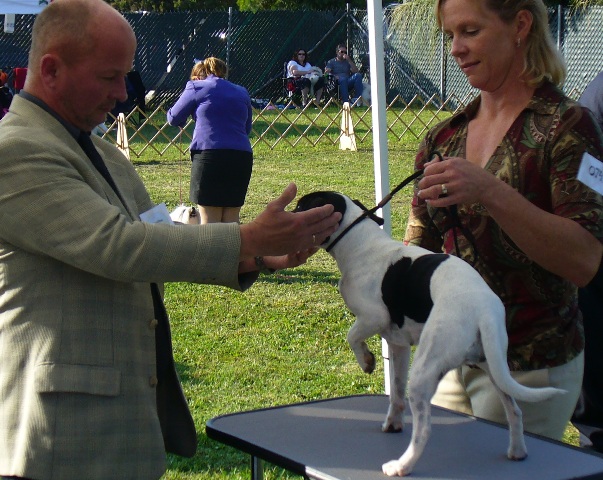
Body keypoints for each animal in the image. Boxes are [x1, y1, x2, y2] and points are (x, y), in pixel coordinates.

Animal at [294, 190, 564, 476]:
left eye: (301, 206)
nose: (288, 214)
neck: (359, 244)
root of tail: (482, 308)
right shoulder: (398, 346)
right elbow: (396, 393)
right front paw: (393, 422)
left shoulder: (373, 317)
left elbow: (352, 336)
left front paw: (367, 361)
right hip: (493, 366)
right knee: (515, 411)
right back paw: (517, 451)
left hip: (425, 371)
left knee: (424, 430)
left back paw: (402, 465)